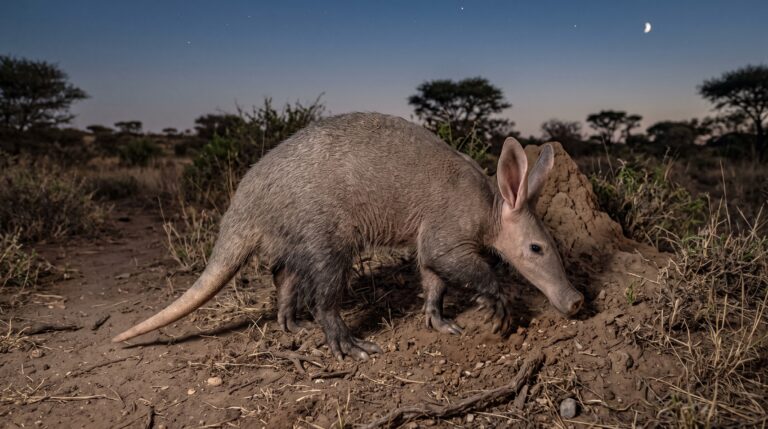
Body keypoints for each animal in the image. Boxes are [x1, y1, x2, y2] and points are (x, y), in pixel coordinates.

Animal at [112, 113, 584, 360]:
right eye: (536, 248)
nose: (576, 302)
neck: (489, 206)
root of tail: (246, 204)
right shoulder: (448, 229)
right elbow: (452, 263)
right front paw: (497, 306)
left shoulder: (431, 240)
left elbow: (432, 277)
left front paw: (439, 320)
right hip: (324, 231)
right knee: (324, 291)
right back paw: (346, 344)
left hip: (295, 233)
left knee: (284, 273)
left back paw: (290, 322)